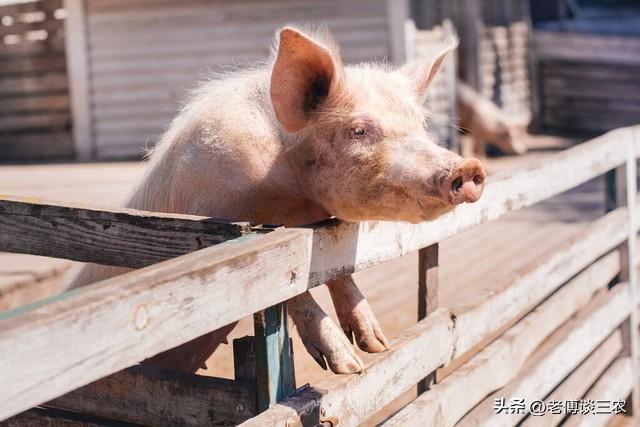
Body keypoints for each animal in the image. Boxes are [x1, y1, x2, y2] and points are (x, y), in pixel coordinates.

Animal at [65, 25, 484, 374]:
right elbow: (289, 288)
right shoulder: (234, 227)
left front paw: (377, 346)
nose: (468, 167)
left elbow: (338, 270)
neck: (291, 196)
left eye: (421, 125)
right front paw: (350, 367)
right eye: (359, 131)